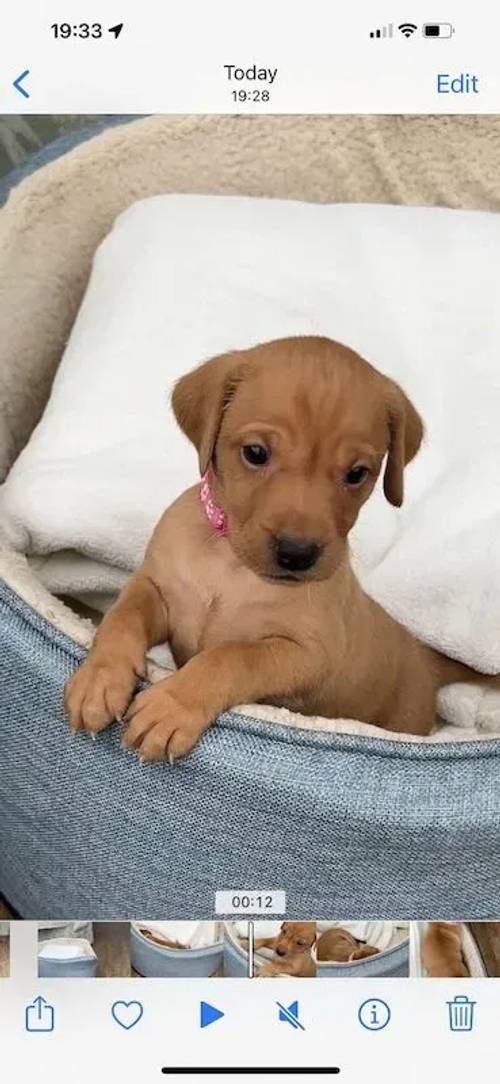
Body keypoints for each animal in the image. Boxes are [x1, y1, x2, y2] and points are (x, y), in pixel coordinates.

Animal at [62, 333, 490, 758]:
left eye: (357, 474)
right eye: (255, 453)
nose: (297, 553)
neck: (231, 565)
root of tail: (423, 656)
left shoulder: (306, 654)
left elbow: (231, 656)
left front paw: (173, 705)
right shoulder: (159, 592)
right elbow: (123, 615)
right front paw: (100, 678)